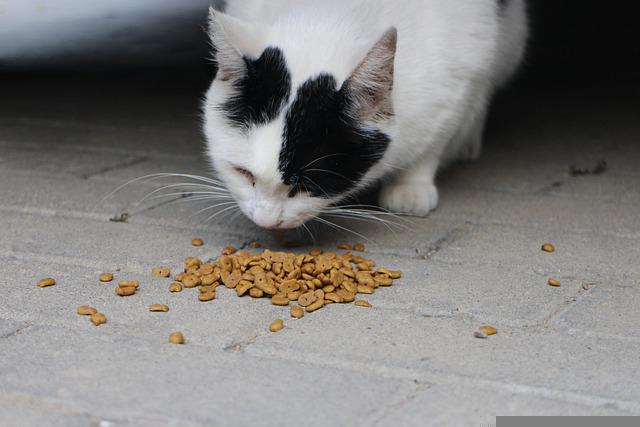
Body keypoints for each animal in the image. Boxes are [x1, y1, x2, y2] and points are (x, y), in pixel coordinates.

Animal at [202, 0, 528, 231]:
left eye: (308, 184)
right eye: (243, 173)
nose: (266, 222)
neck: (333, 14)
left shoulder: (459, 76)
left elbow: (435, 138)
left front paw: (411, 185)